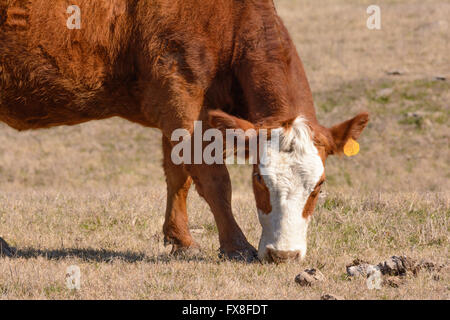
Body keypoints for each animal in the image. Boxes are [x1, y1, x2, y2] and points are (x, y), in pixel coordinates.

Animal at [0, 0, 370, 262]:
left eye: (319, 186)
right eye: (258, 180)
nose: (284, 254)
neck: (226, 22)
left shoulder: (183, 113)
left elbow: (178, 176)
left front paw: (180, 238)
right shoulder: (181, 98)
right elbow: (213, 179)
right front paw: (236, 245)